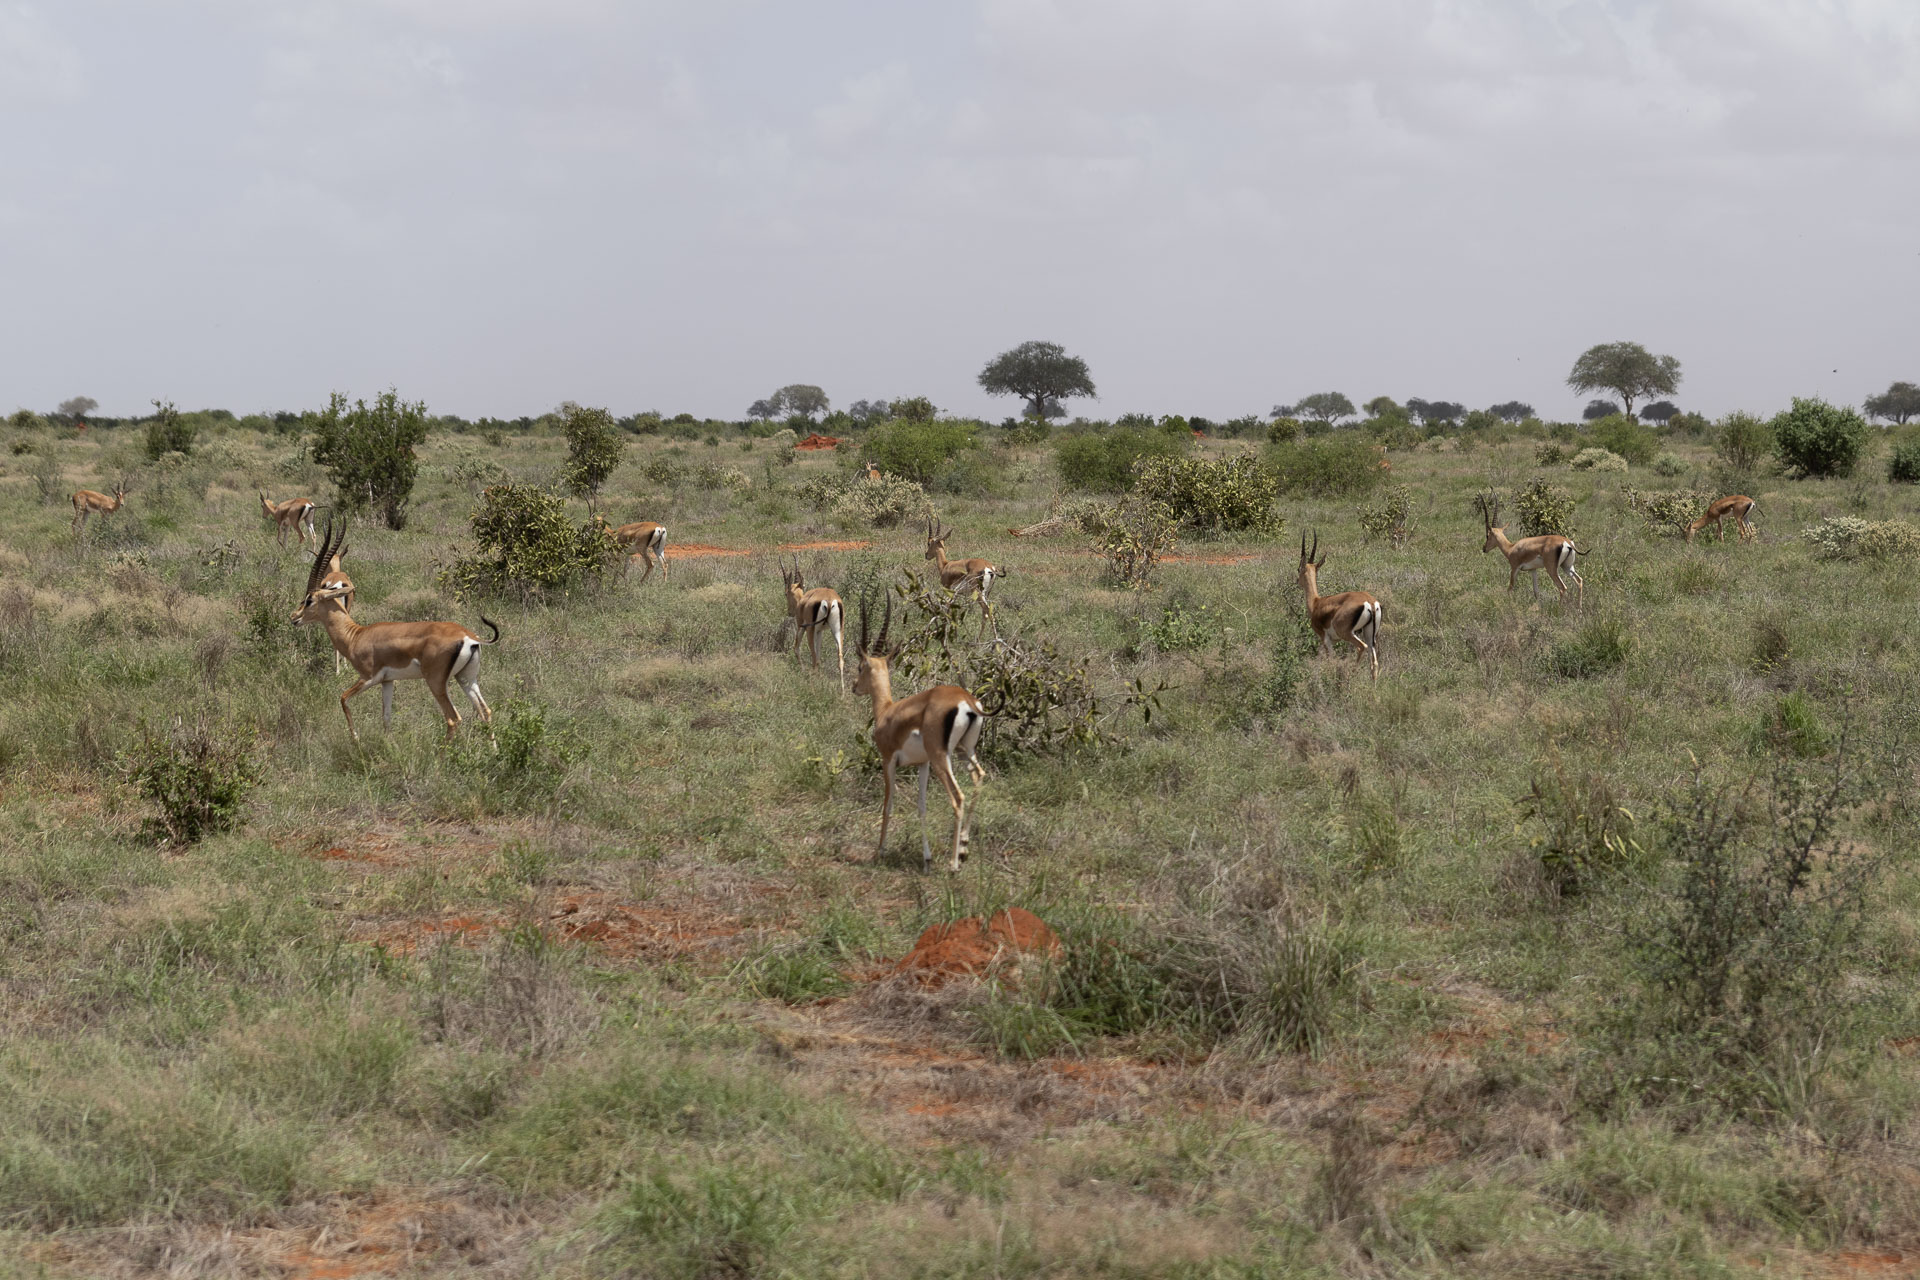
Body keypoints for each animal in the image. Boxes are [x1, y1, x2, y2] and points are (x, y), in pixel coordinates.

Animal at [291, 517, 498, 744]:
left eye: (309, 600)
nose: (294, 617)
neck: (356, 636)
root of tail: (469, 637)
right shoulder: (388, 681)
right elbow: (386, 718)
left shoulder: (368, 678)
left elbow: (343, 698)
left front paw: (356, 739)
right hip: (466, 678)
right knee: (485, 711)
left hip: (436, 682)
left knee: (453, 719)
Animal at [781, 555, 845, 690]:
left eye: (785, 593)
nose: (790, 612)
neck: (803, 601)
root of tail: (829, 600)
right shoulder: (820, 631)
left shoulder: (802, 626)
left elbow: (796, 648)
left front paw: (803, 671)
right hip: (838, 630)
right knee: (840, 659)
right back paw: (842, 692)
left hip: (810, 630)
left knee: (814, 658)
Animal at [852, 593, 988, 872]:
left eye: (861, 666)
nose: (853, 686)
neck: (887, 711)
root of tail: (968, 702)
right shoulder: (922, 764)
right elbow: (921, 807)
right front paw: (926, 858)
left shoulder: (888, 760)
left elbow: (888, 804)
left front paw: (880, 851)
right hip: (965, 751)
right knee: (979, 777)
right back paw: (963, 850)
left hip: (942, 758)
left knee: (958, 797)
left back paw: (953, 865)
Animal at [1296, 531, 1382, 681]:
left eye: (1298, 569)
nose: (1297, 581)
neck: (1316, 603)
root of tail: (1370, 602)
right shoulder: (1328, 641)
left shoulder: (1325, 638)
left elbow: (1331, 659)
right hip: (1370, 634)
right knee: (1374, 662)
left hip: (1348, 633)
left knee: (1362, 647)